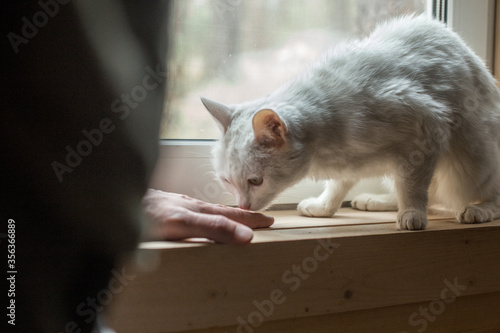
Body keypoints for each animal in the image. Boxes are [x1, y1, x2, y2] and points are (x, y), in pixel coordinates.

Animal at [200, 14, 500, 228]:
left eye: (255, 181)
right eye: (227, 181)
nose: (242, 207)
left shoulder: (426, 131)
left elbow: (413, 186)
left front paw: (413, 213)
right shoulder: (351, 161)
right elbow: (338, 184)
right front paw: (324, 207)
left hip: (472, 159)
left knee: (486, 192)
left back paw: (478, 209)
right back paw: (375, 200)